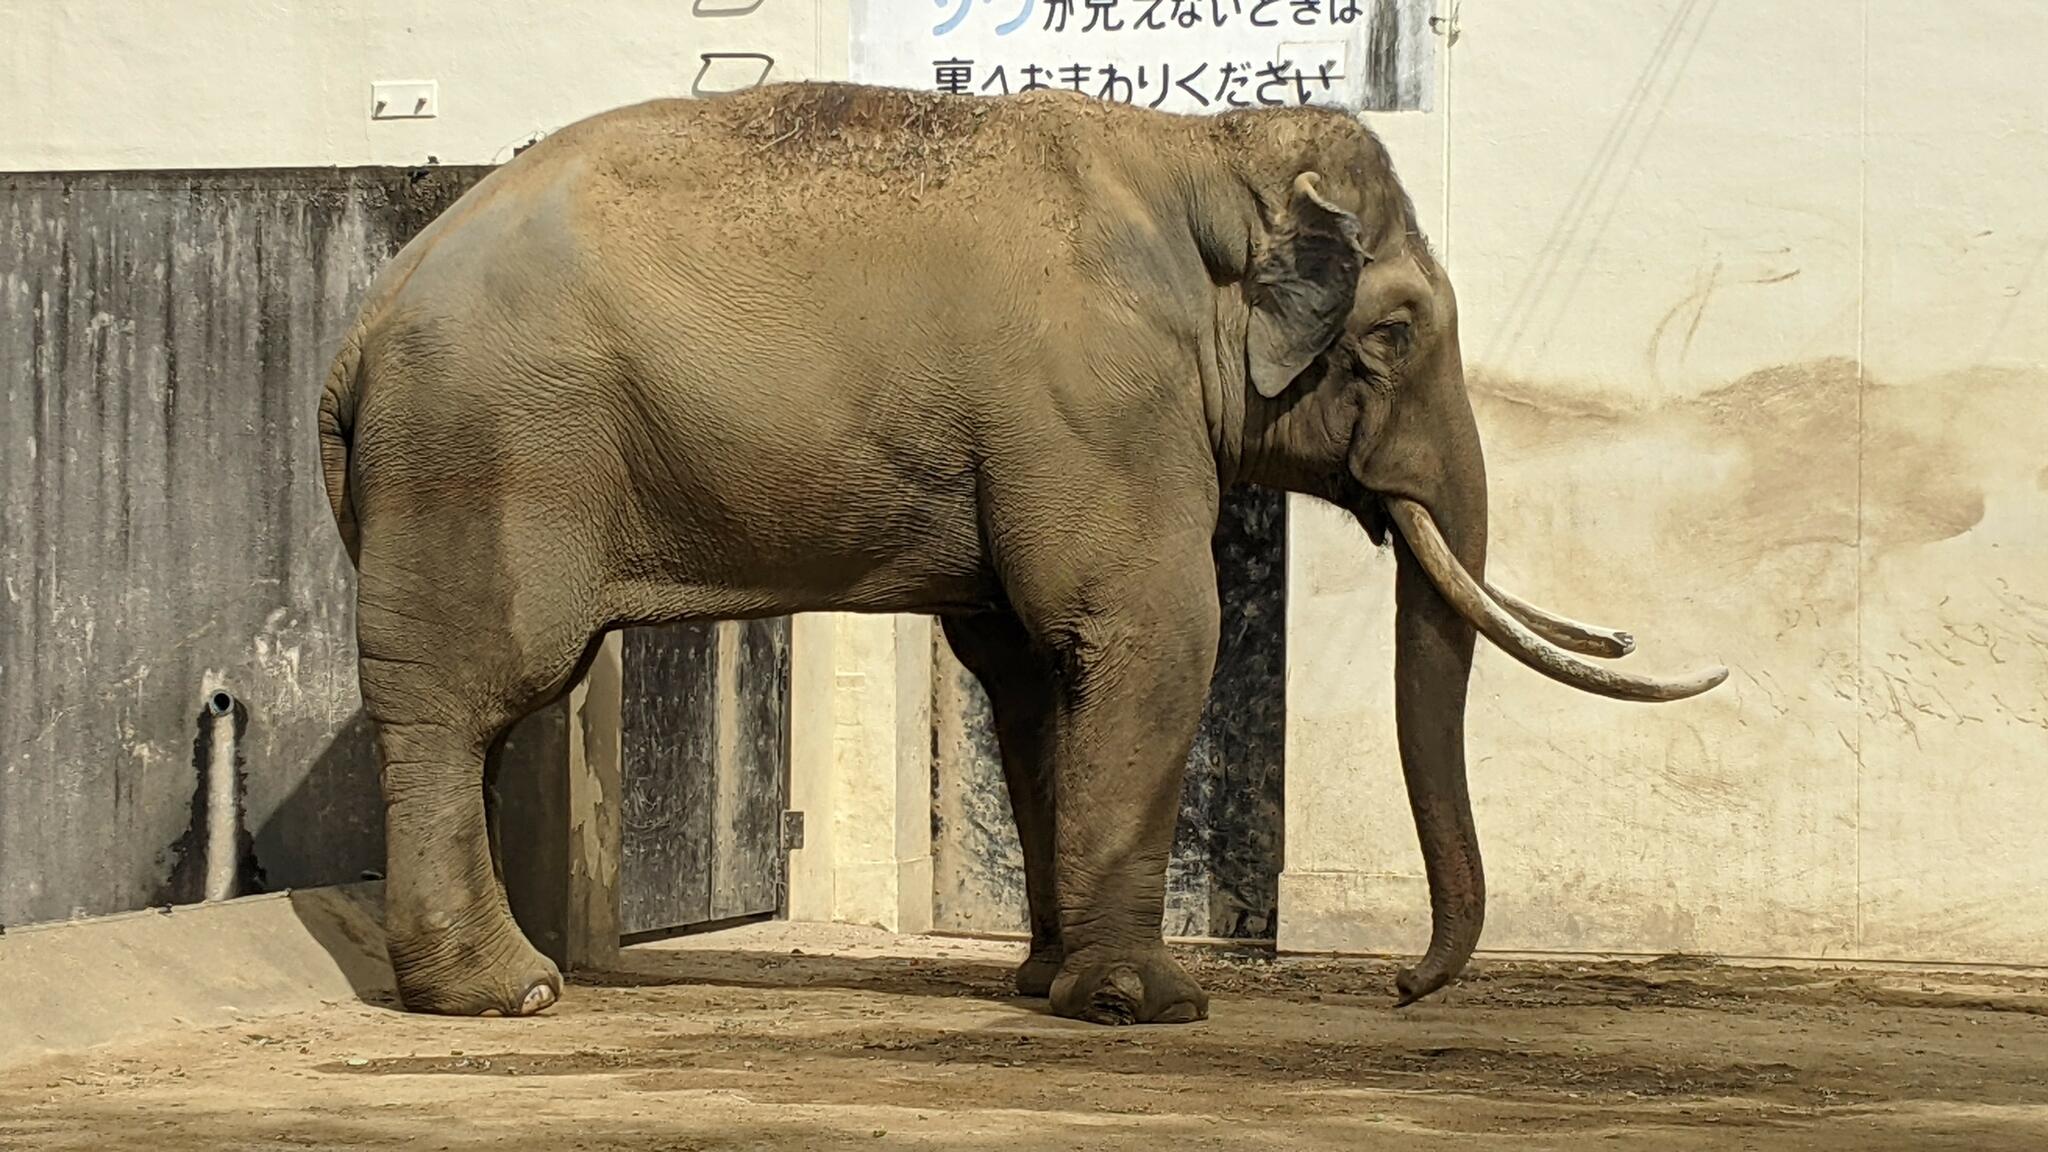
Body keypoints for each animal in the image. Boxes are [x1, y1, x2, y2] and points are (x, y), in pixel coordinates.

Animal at [319, 80, 1728, 1016]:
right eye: (1390, 334)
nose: (1402, 986)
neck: (1195, 160)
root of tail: (367, 316)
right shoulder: (1099, 400)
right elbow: (1151, 631)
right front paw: (1144, 1004)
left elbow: (1030, 669)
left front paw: (1045, 980)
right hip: (490, 452)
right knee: (463, 699)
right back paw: (507, 995)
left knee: (487, 708)